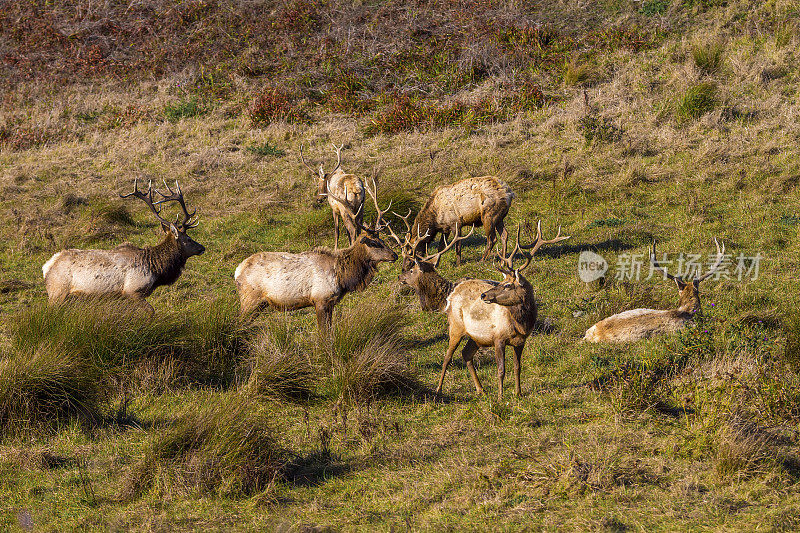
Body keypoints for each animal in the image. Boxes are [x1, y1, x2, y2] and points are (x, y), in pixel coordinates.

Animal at [42, 179, 206, 312]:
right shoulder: (132, 290)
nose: (202, 248)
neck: (156, 270)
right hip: (57, 292)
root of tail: (47, 266)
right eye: (189, 239)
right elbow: (151, 311)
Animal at [238, 177, 400, 330]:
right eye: (374, 243)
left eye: (382, 240)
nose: (394, 255)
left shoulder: (330, 303)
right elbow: (324, 333)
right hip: (249, 299)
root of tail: (237, 271)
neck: (342, 277)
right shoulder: (321, 299)